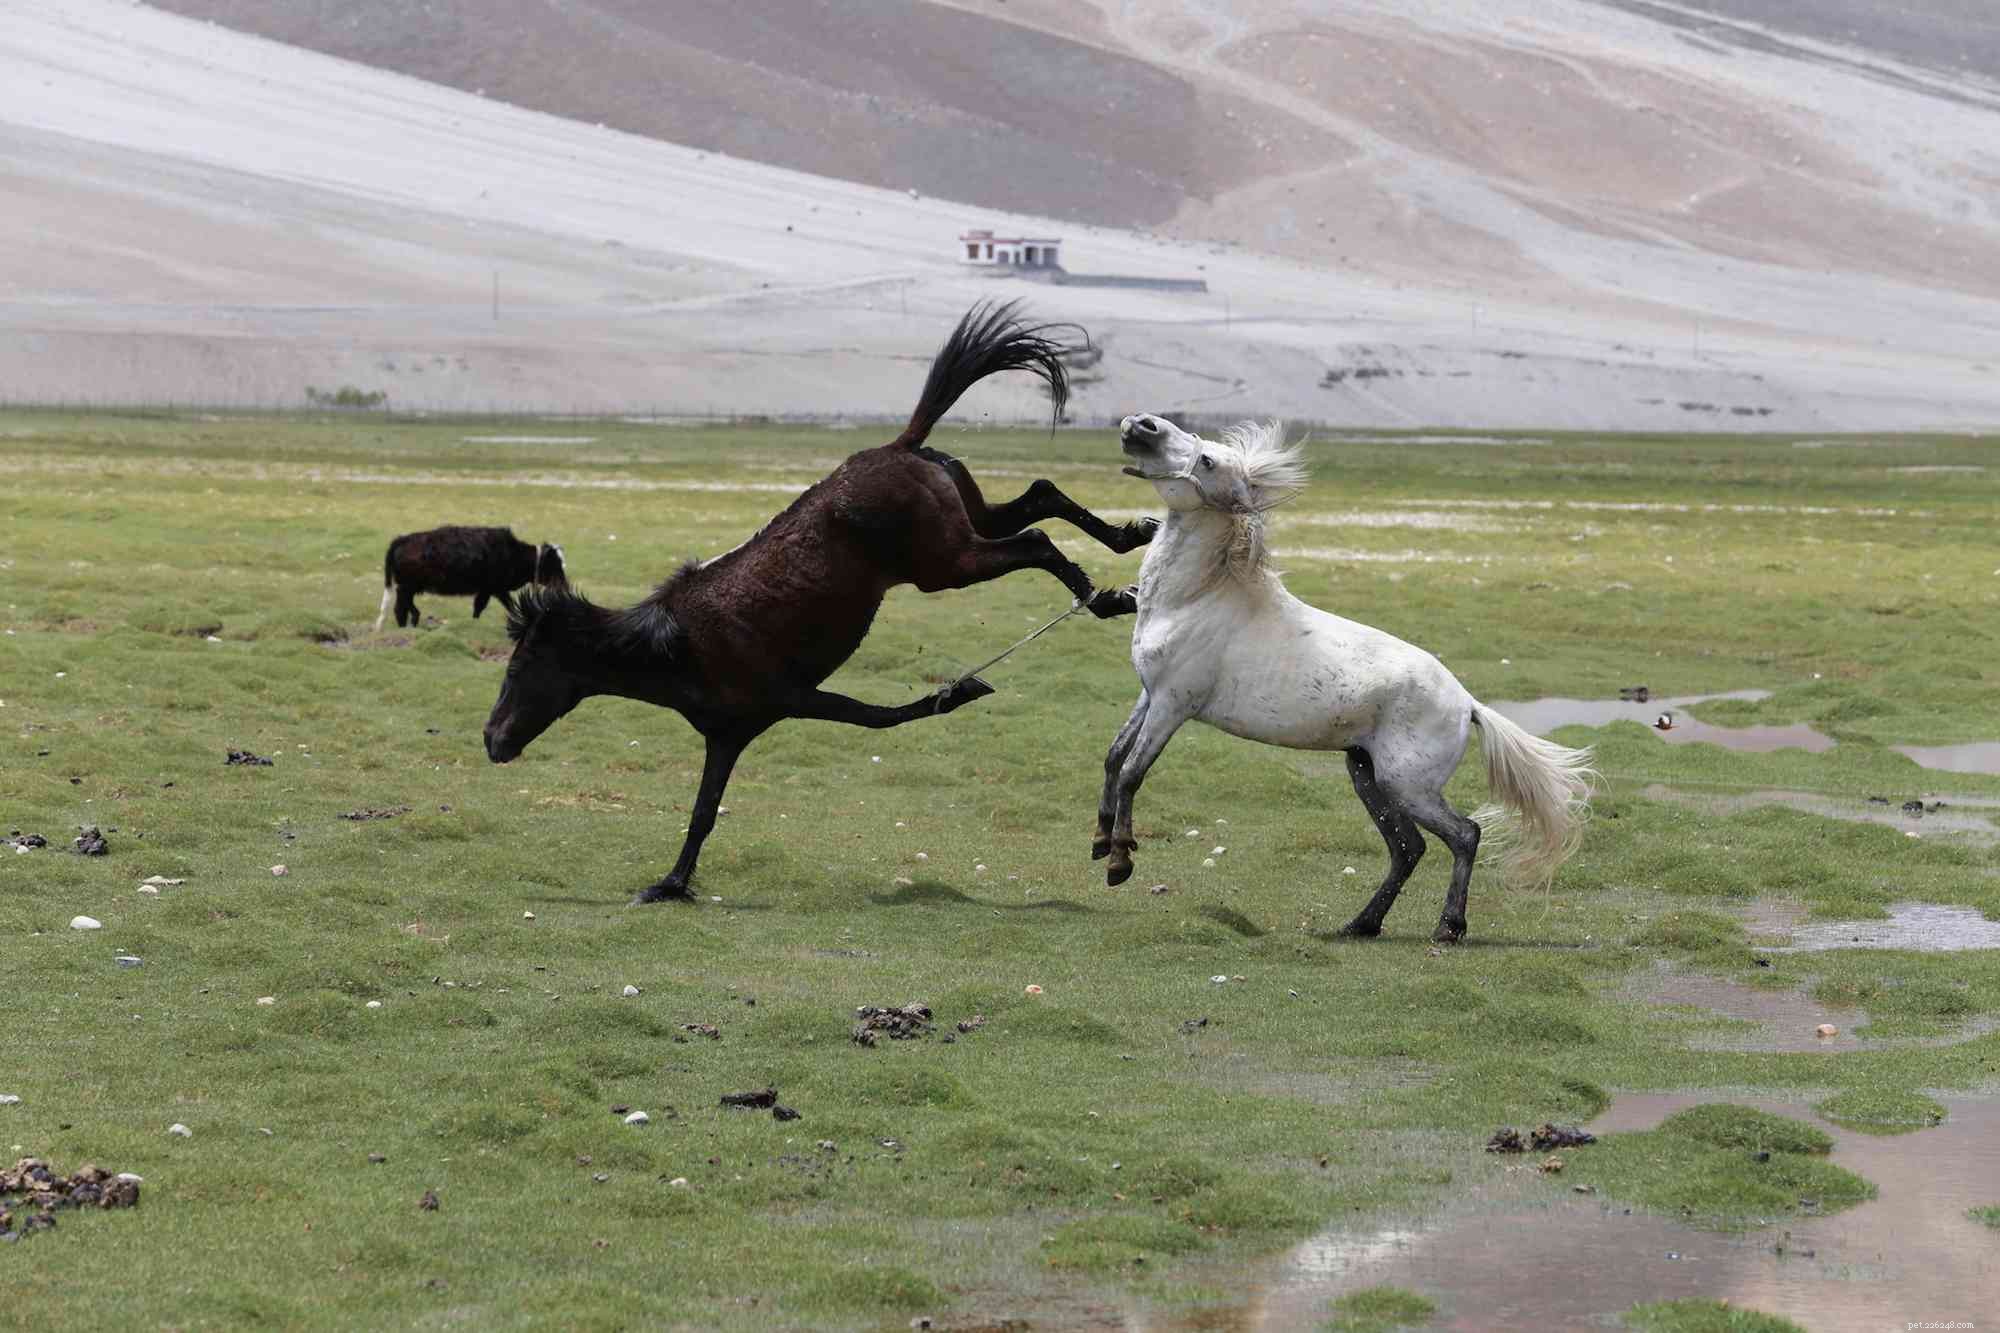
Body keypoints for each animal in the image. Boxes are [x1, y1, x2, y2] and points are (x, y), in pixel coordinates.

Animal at [483, 302, 1154, 904]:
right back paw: (1132, 540)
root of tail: (899, 445)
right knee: (1041, 497)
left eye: (518, 670)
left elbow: (876, 719)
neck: (678, 644)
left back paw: (1106, 599)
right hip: (965, 527)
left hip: (948, 565)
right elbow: (703, 813)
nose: (492, 741)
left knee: (1036, 540)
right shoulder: (730, 734)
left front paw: (959, 692)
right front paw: (672, 884)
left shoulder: (789, 702)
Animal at [1091, 413, 1594, 942]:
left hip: (1407, 785)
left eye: (1206, 459)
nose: (1141, 424)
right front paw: (1101, 840)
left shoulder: (1173, 705)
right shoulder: (1149, 696)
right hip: (1367, 775)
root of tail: (1467, 704)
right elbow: (1113, 757)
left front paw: (1120, 862)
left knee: (1464, 835)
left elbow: (1133, 772)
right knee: (1408, 848)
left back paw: (1448, 927)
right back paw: (1362, 924)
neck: (1198, 597)